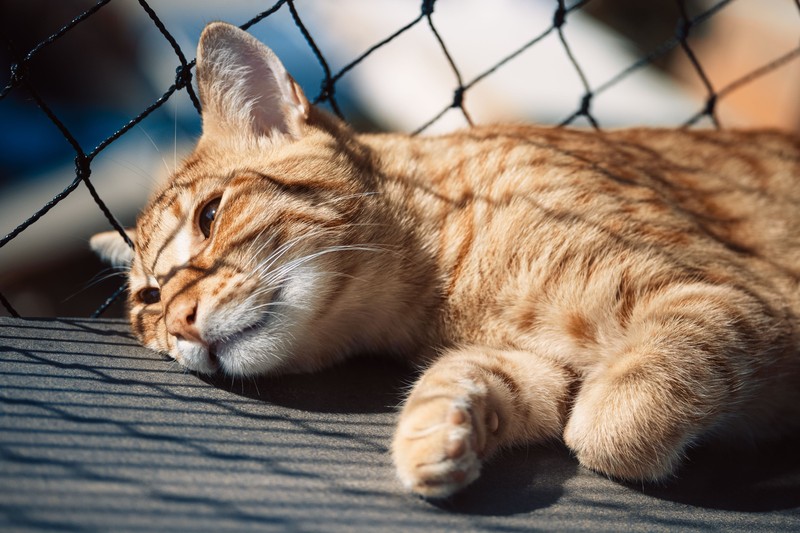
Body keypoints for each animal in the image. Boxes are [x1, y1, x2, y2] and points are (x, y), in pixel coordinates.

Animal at [90, 19, 800, 494]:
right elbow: (474, 373)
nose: (180, 320)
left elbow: (610, 431)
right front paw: (438, 429)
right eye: (148, 301)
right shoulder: (536, 366)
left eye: (210, 218)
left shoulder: (729, 299)